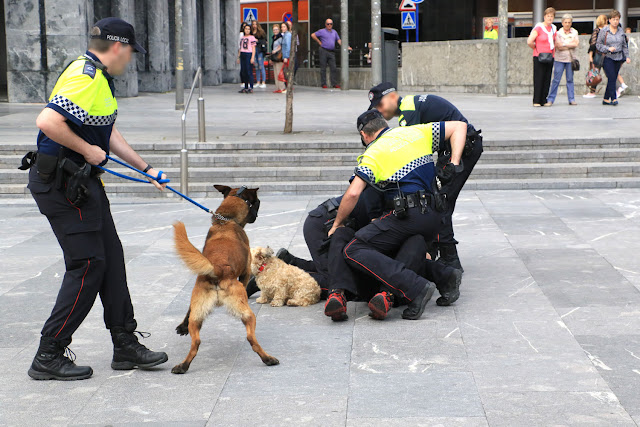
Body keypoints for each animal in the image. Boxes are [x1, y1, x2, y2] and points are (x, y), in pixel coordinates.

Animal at [171, 185, 278, 374]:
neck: (225, 221)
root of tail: (217, 269)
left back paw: (183, 366)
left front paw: (181, 327)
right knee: (251, 338)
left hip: (197, 315)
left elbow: (188, 309)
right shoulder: (245, 273)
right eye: (257, 202)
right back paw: (268, 359)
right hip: (247, 314)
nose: (256, 215)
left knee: (196, 342)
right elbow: (246, 281)